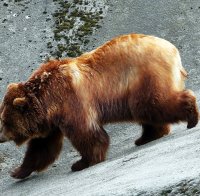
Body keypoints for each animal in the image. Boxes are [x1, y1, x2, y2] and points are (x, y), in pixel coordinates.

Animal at [0, 33, 198, 179]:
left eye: (5, 122)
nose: (0, 137)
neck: (48, 100)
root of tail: (171, 48)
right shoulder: (51, 122)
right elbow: (42, 146)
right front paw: (18, 172)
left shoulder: (71, 101)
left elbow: (87, 133)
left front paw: (82, 162)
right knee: (147, 112)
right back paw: (146, 137)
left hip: (144, 76)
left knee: (154, 104)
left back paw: (191, 117)